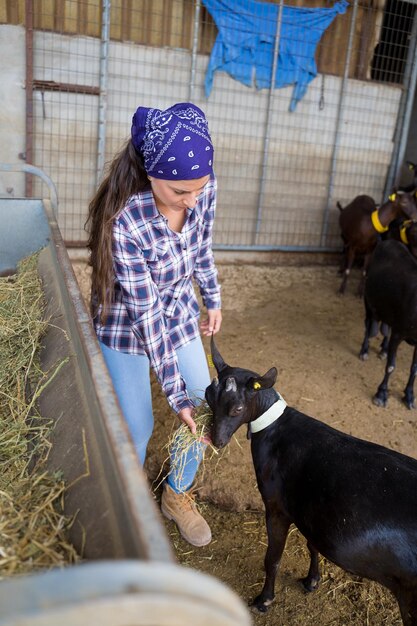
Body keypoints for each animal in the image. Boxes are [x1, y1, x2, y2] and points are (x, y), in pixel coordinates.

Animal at [206, 336, 416, 624]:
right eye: (208, 396)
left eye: (237, 408)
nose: (216, 440)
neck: (276, 428)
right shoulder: (308, 512)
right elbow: (312, 544)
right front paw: (311, 580)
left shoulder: (277, 508)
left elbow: (272, 558)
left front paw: (264, 599)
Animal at [360, 236, 416, 408]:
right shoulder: (399, 333)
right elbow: (391, 366)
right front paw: (381, 394)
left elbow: (414, 369)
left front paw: (409, 396)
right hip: (368, 300)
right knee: (368, 326)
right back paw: (364, 351)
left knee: (385, 328)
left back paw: (384, 349)